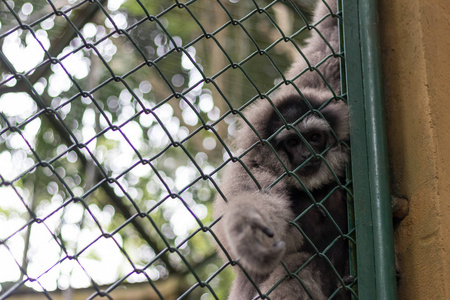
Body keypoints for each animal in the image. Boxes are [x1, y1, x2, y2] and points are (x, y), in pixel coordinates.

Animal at [213, 1, 350, 298]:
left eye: (314, 137)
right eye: (292, 142)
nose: (307, 155)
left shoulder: (318, 88)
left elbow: (330, 39)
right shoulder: (252, 171)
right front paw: (247, 228)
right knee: (298, 267)